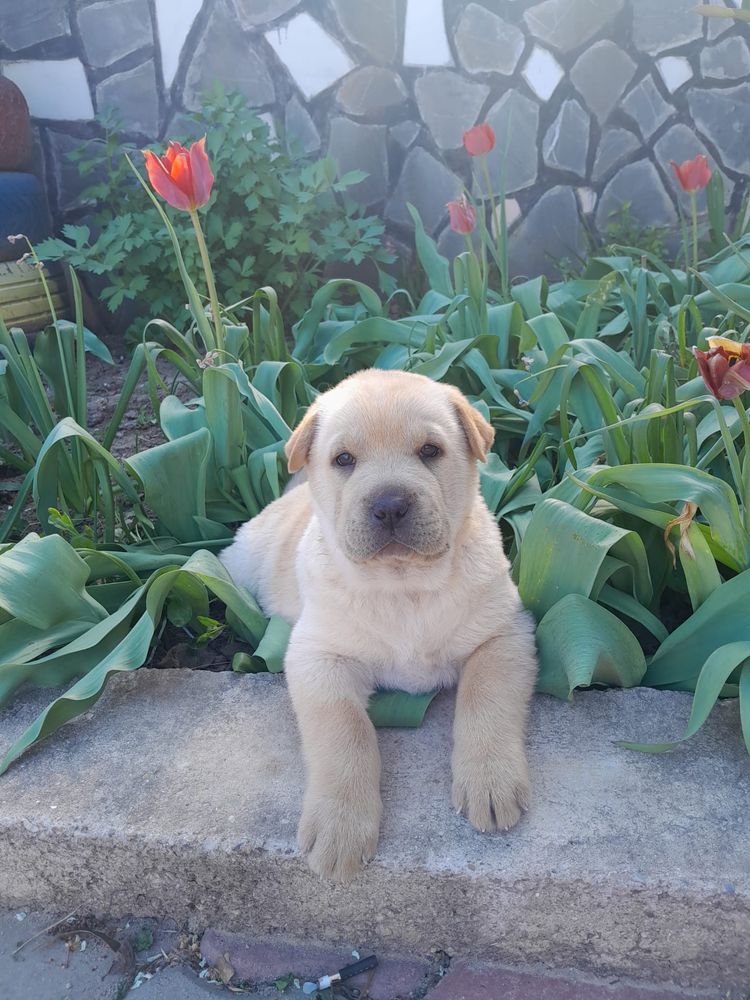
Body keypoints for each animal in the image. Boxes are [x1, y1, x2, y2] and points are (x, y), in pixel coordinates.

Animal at [220, 372, 536, 880]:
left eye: (430, 450)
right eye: (344, 460)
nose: (389, 505)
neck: (403, 586)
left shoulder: (503, 634)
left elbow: (484, 698)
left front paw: (490, 782)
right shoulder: (319, 656)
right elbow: (345, 731)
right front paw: (340, 825)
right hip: (240, 563)